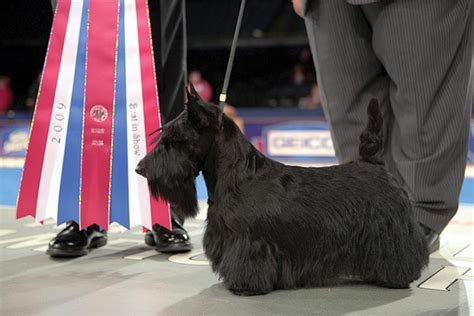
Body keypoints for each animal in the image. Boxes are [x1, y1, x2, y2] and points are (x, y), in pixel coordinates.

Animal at [136, 85, 430, 296]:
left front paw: (245, 287)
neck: (238, 175)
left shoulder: (250, 241)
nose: (140, 168)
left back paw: (395, 277)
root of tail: (374, 163)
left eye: (175, 139)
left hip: (388, 228)